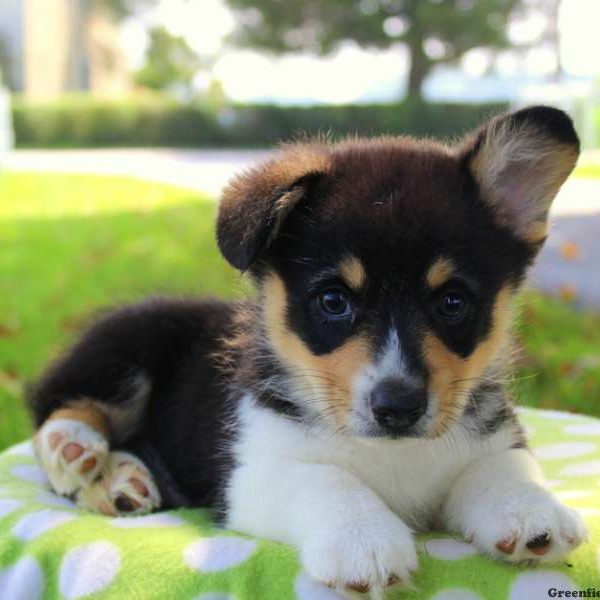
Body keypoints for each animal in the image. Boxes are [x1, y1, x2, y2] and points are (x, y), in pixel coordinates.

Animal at [29, 106, 584, 596]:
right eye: (333, 301)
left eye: (452, 302)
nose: (398, 408)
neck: (395, 454)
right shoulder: (255, 472)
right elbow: (326, 480)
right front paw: (365, 544)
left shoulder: (495, 439)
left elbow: (500, 468)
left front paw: (530, 511)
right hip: (128, 339)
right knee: (55, 405)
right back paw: (74, 446)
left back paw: (121, 483)